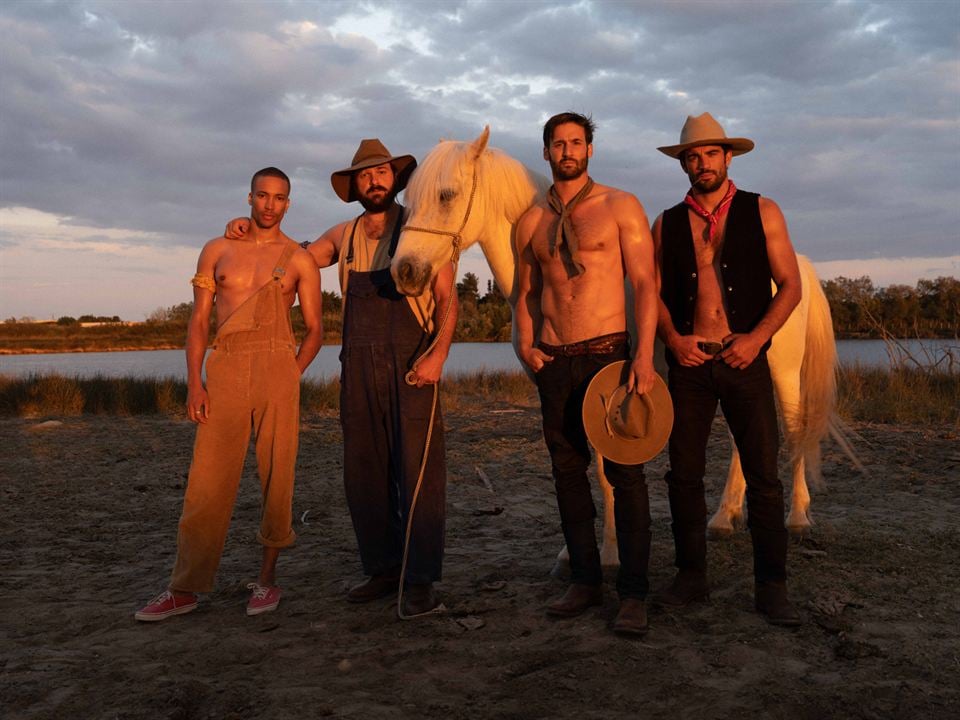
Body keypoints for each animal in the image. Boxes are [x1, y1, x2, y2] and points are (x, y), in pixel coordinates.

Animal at [390, 126, 848, 568]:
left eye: (447, 194)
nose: (404, 272)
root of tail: (797, 267)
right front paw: (572, 554)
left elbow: (607, 471)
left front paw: (611, 553)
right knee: (742, 442)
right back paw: (724, 517)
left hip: (781, 370)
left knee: (795, 431)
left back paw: (798, 516)